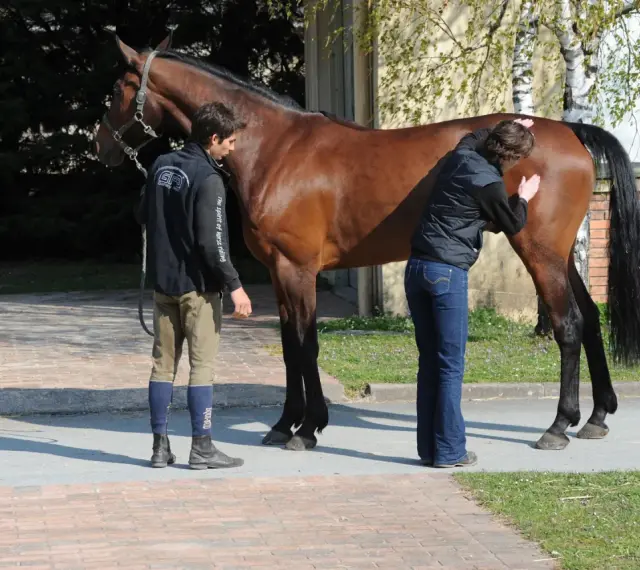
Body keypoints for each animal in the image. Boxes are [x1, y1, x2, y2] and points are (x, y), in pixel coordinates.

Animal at [93, 33, 640, 453]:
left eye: (118, 88)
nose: (100, 146)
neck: (275, 148)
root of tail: (569, 130)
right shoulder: (280, 271)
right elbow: (290, 347)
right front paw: (285, 423)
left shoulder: (297, 270)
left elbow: (305, 344)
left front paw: (307, 428)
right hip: (562, 254)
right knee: (590, 320)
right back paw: (596, 417)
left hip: (539, 251)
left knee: (568, 325)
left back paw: (559, 425)